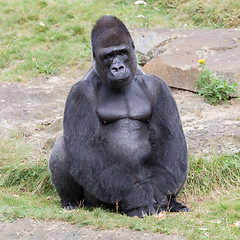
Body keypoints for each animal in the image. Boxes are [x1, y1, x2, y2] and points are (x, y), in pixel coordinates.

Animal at [48, 15, 190, 218]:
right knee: (63, 146)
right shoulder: (79, 93)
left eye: (122, 53)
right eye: (108, 56)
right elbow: (87, 148)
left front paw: (160, 197)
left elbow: (168, 140)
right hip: (100, 197)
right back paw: (71, 200)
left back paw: (173, 202)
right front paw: (137, 200)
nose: (117, 67)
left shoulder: (158, 86)